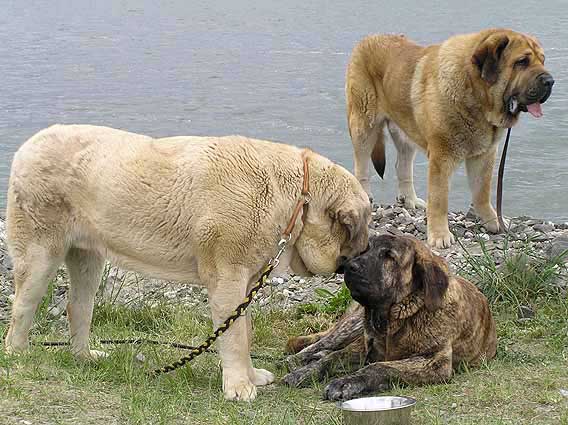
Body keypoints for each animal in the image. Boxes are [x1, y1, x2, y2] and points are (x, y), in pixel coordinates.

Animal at [5, 123, 372, 400]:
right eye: (360, 228)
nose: (367, 248)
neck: (296, 196)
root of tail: (28, 146)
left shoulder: (245, 281)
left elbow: (245, 329)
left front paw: (252, 376)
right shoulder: (227, 275)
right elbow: (234, 335)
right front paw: (239, 388)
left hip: (87, 255)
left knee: (79, 303)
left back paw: (85, 356)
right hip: (40, 248)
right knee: (25, 302)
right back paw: (17, 353)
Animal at [284, 234, 496, 400]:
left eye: (389, 257)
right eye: (365, 249)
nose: (348, 266)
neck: (399, 317)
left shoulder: (435, 362)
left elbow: (379, 367)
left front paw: (345, 382)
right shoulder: (363, 346)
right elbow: (334, 357)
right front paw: (304, 373)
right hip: (352, 325)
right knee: (321, 344)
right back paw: (301, 359)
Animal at [346, 28, 556, 247]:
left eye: (542, 60)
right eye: (522, 61)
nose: (550, 81)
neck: (475, 96)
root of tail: (367, 39)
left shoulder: (484, 156)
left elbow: (482, 192)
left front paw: (493, 221)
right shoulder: (442, 158)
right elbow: (439, 200)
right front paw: (440, 235)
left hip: (405, 132)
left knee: (402, 167)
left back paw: (410, 200)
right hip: (364, 125)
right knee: (361, 166)